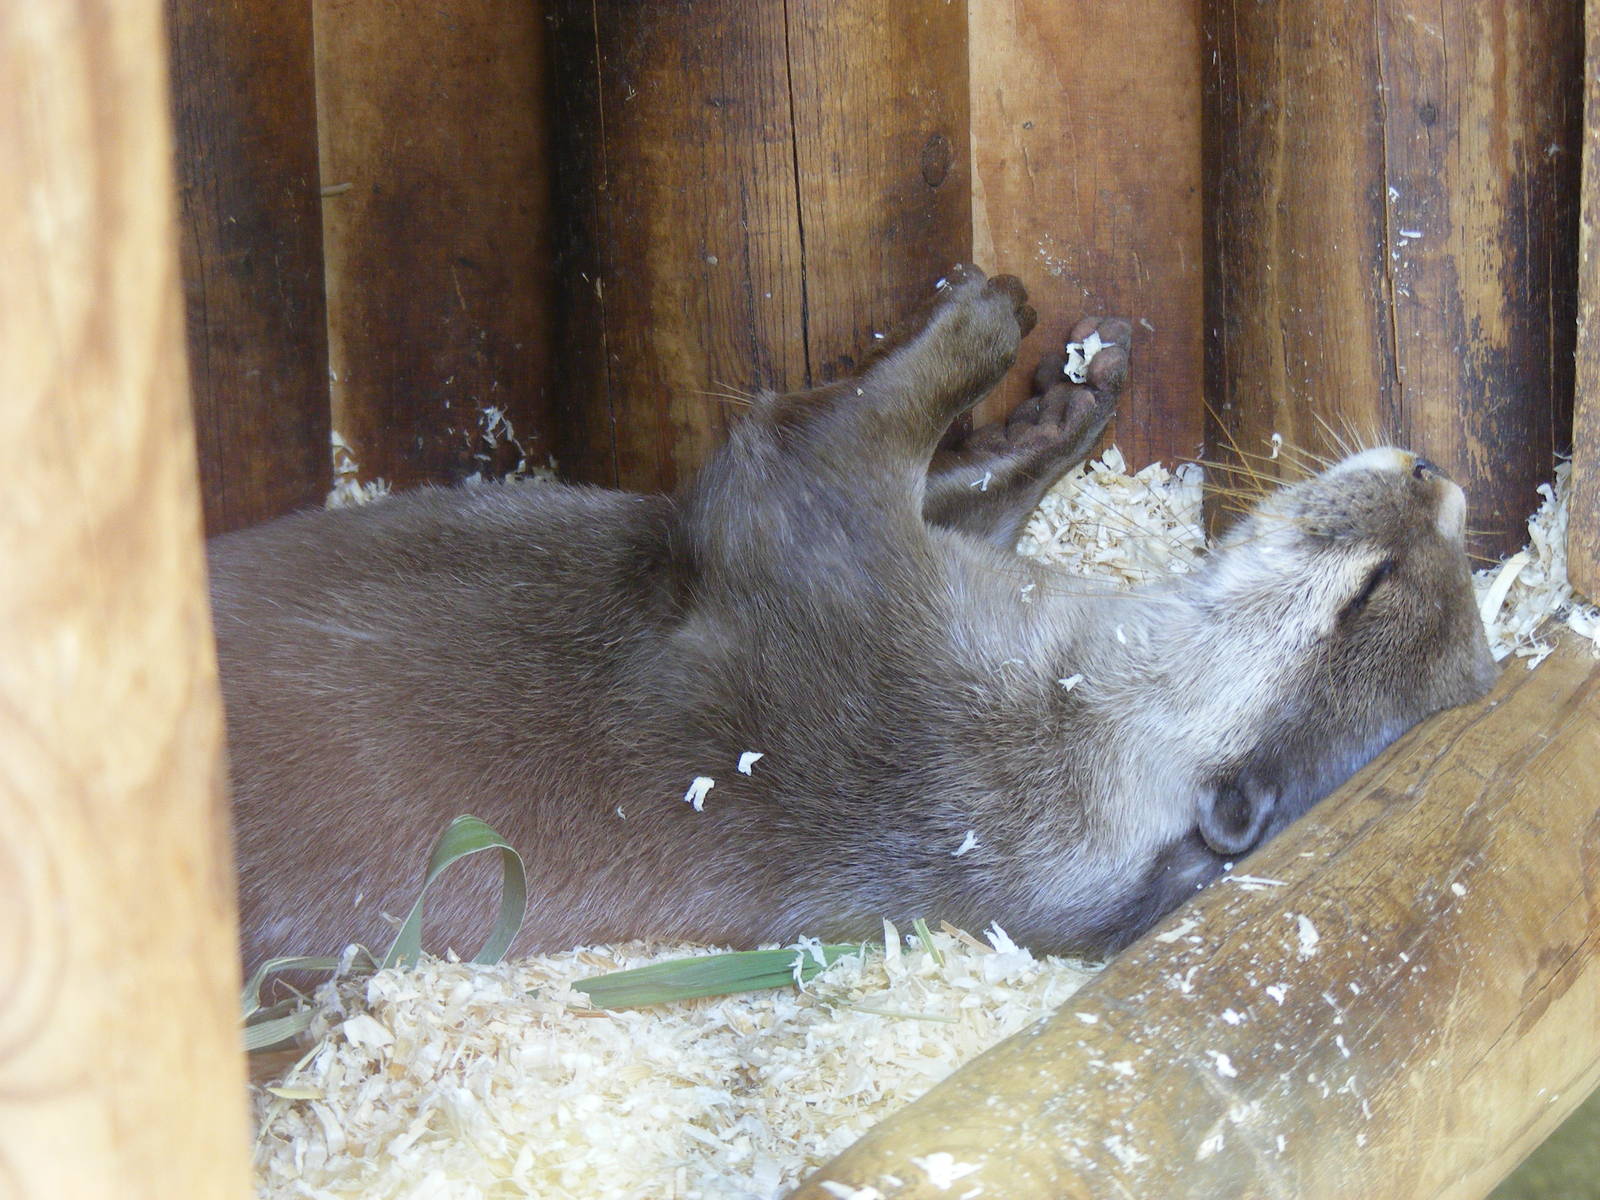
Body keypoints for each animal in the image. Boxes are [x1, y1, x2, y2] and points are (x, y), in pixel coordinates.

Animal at [209, 266, 1497, 971]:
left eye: (1371, 584)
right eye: (1436, 573)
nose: (1434, 471)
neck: (1053, 715)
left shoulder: (843, 571)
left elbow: (815, 440)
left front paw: (984, 318)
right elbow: (969, 488)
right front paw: (1067, 397)